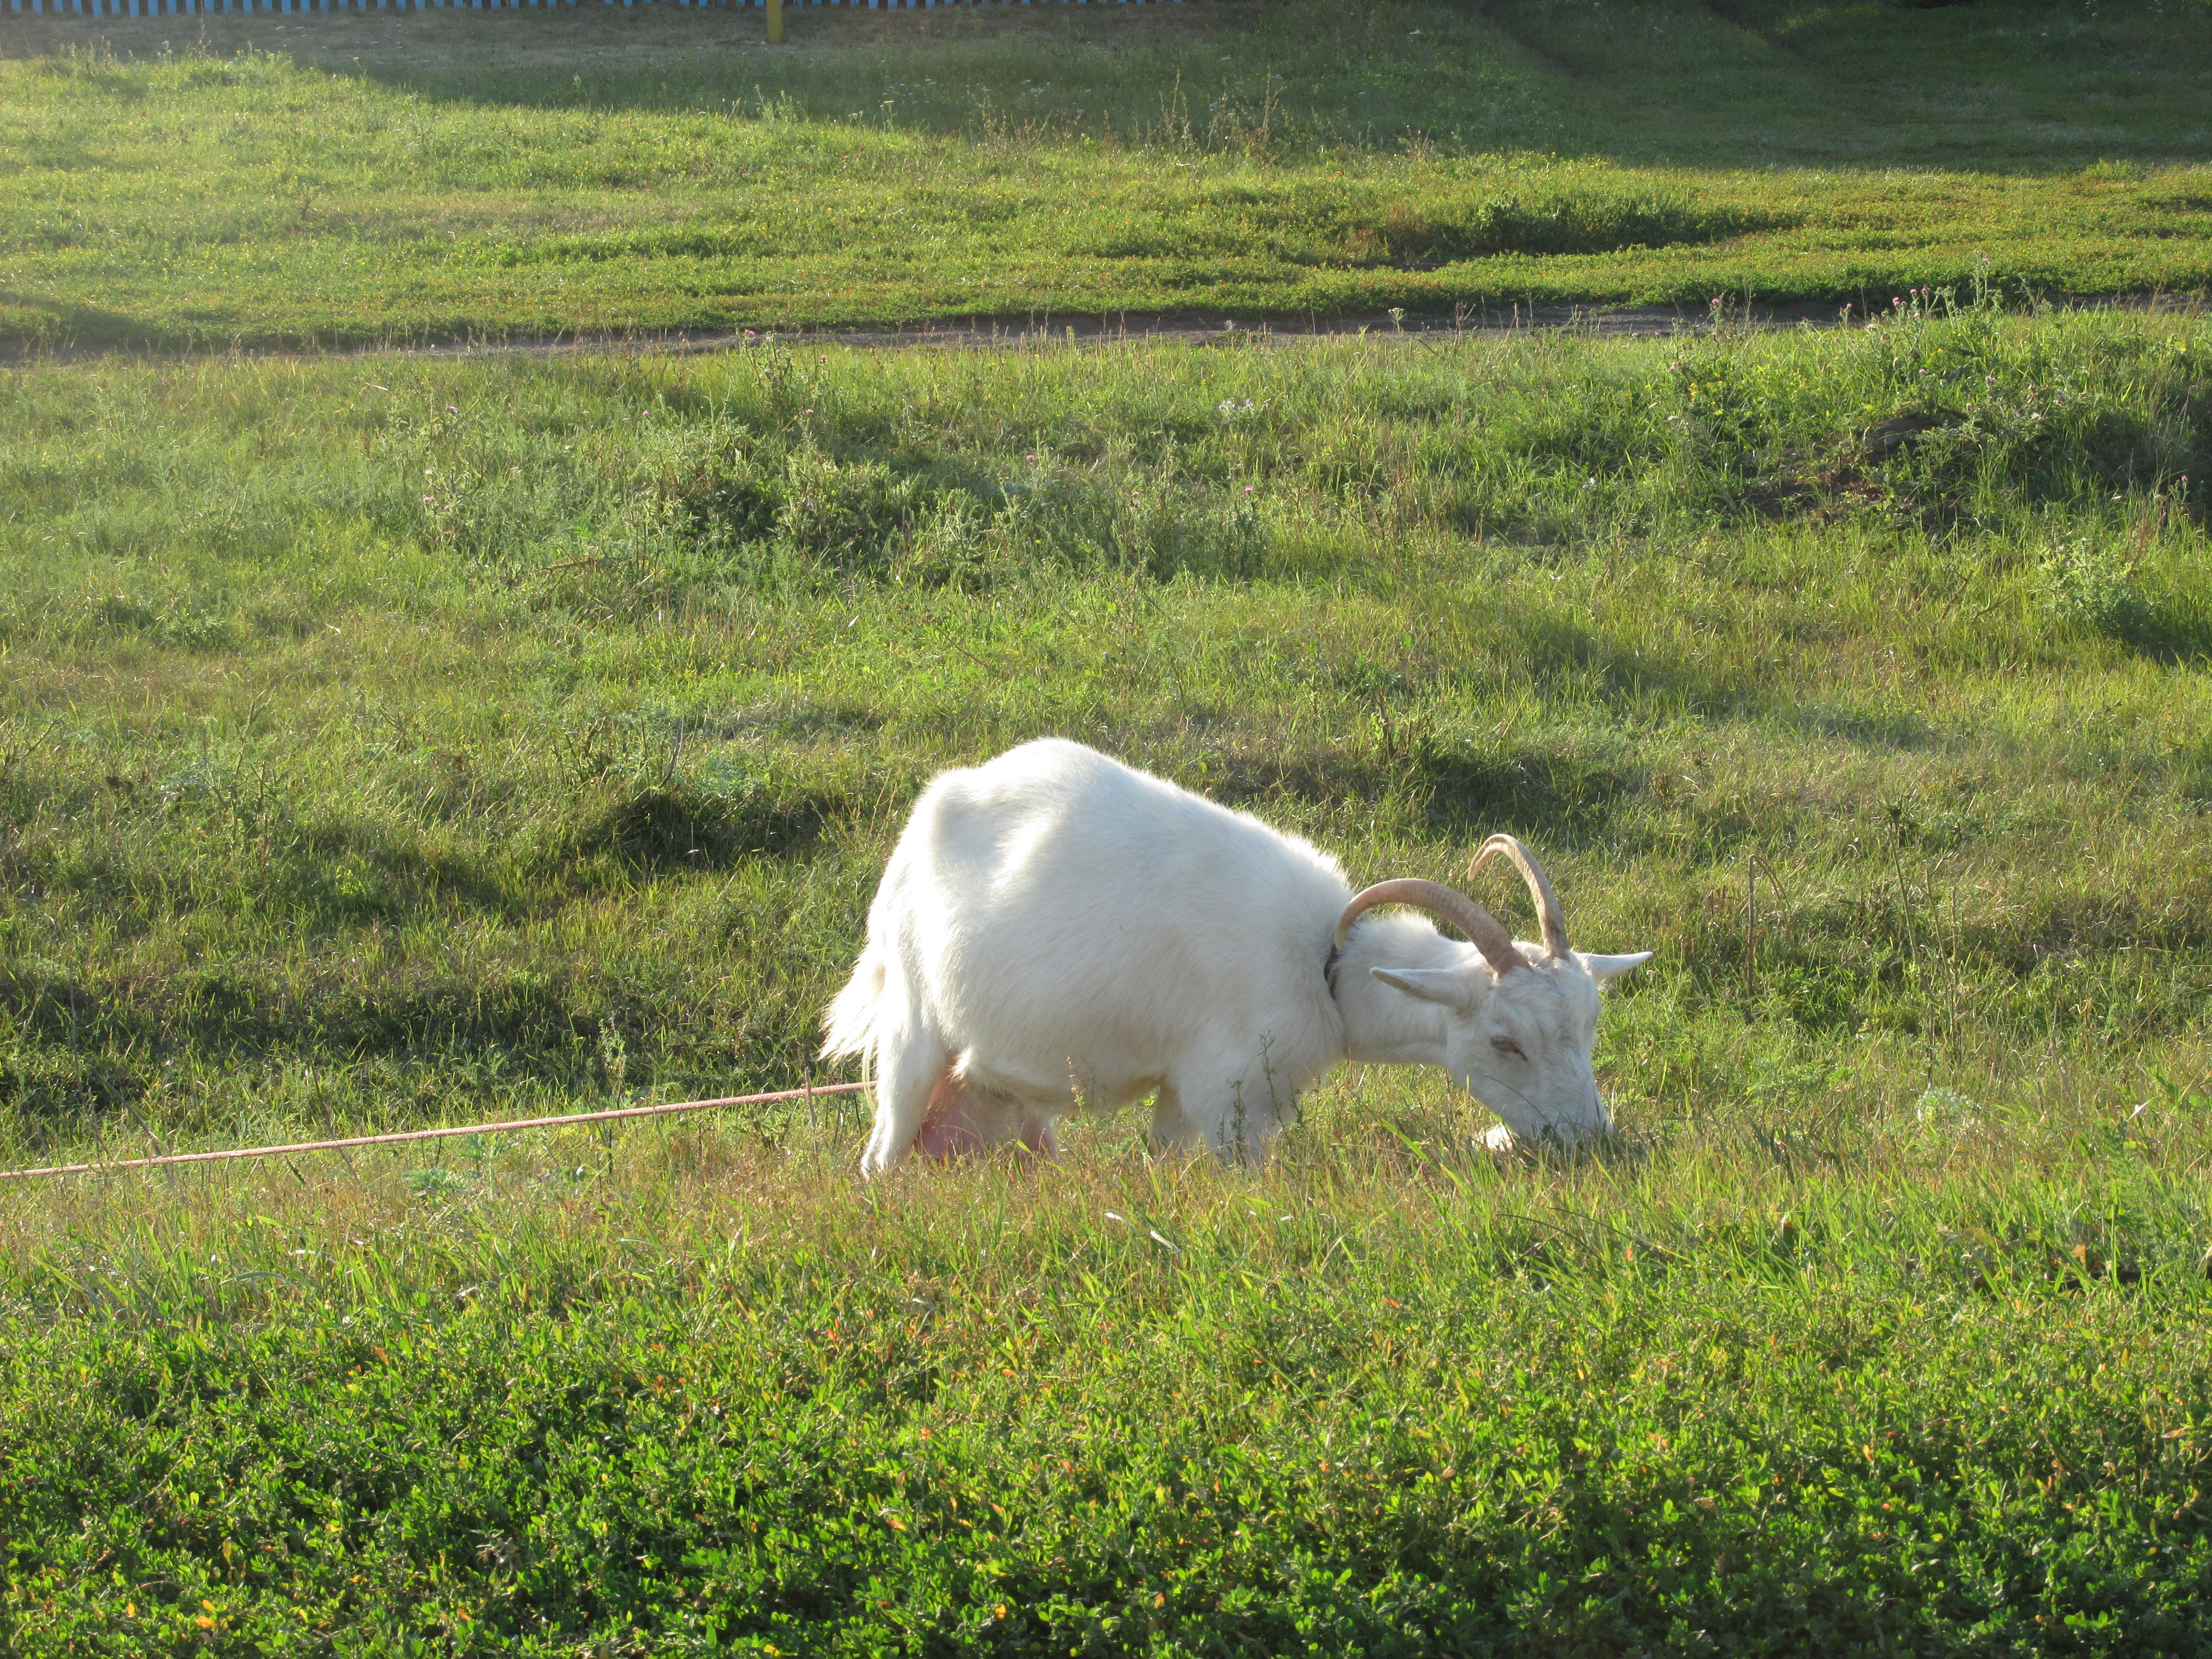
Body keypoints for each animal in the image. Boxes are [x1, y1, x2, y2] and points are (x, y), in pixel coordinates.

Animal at [823, 734, 1654, 1177]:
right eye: (1505, 1042)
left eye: (1589, 1030)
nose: (1592, 1141)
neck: (1325, 966)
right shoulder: (1228, 1099)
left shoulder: (1183, 1095)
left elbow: (1159, 1161)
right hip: (912, 1032)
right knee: (879, 1157)